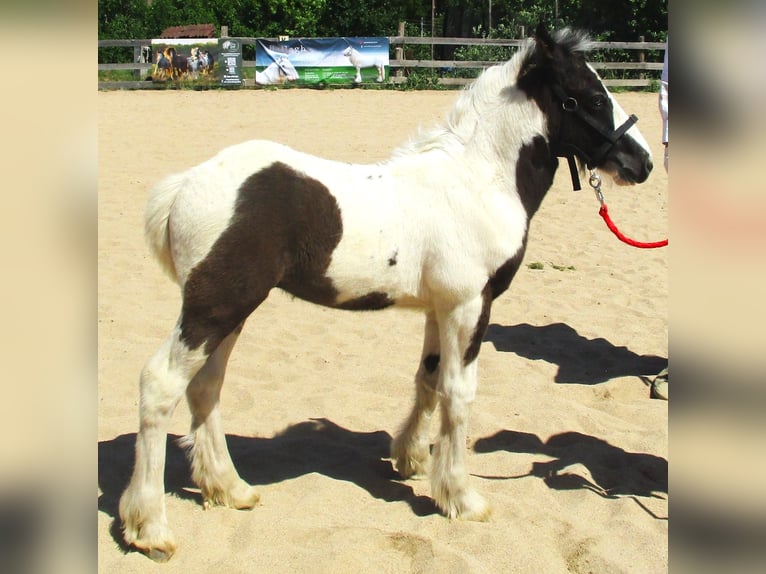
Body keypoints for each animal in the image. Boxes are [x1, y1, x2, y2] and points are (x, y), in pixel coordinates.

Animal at [120, 27, 656, 564]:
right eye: (590, 97)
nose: (643, 162)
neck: (478, 181)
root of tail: (184, 185)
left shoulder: (440, 308)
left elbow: (428, 380)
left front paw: (410, 459)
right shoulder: (469, 305)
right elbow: (459, 393)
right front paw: (461, 497)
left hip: (232, 310)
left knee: (205, 387)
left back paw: (229, 489)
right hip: (214, 306)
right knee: (161, 385)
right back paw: (151, 528)